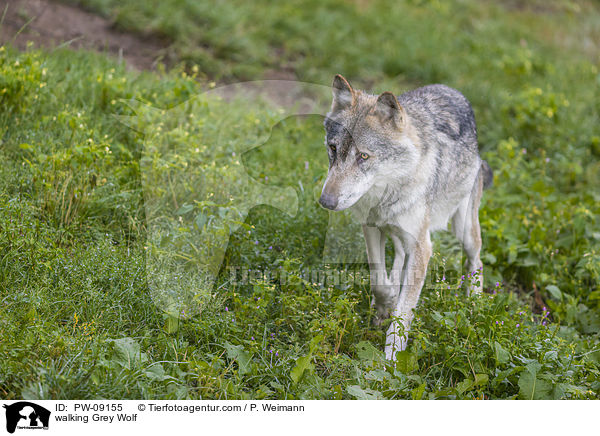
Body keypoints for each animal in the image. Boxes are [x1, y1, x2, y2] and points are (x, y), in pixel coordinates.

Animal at [318, 76, 492, 362]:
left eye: (363, 156)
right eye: (333, 149)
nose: (326, 202)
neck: (387, 193)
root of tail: (453, 90)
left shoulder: (422, 247)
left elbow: (403, 313)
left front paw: (391, 359)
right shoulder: (371, 228)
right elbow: (378, 280)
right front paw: (385, 304)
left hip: (463, 230)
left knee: (476, 261)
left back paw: (475, 302)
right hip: (400, 236)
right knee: (398, 259)